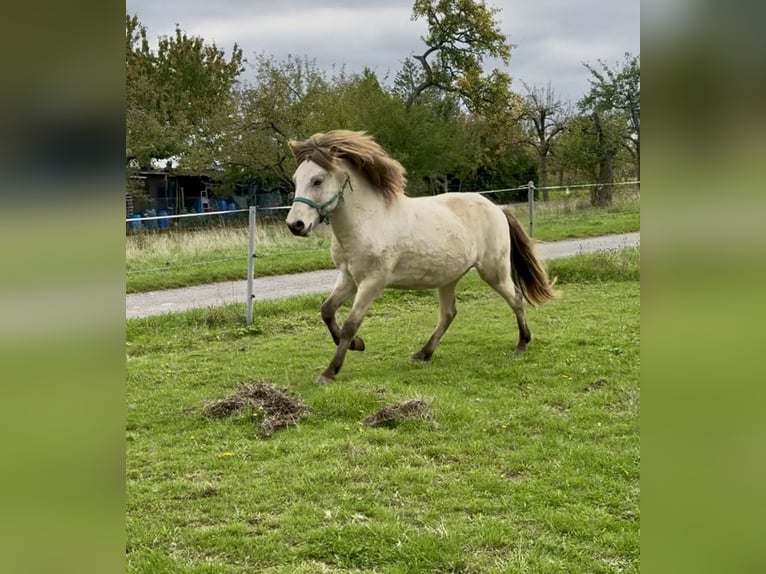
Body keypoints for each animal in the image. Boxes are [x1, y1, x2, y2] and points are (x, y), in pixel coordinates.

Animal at [285, 130, 559, 385]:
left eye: (318, 180)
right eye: (296, 179)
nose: (295, 225)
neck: (369, 221)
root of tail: (497, 209)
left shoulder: (373, 282)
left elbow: (351, 324)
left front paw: (329, 372)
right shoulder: (348, 277)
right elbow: (327, 311)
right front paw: (357, 345)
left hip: (494, 271)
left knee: (516, 298)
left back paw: (522, 343)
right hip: (449, 278)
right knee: (449, 313)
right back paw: (423, 353)